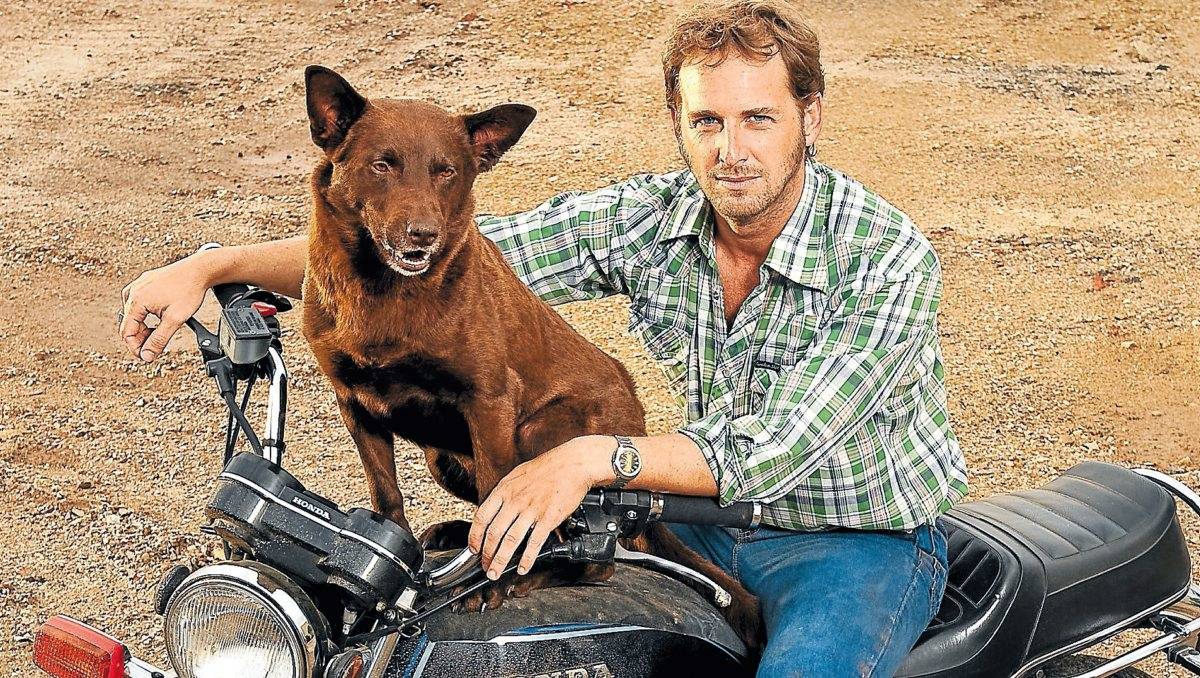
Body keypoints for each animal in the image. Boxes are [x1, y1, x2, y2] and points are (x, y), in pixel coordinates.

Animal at [298, 65, 762, 647]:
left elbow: (501, 504)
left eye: (447, 172)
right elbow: (387, 497)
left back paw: (528, 573)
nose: (422, 235)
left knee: (592, 556)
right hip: (442, 457)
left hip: (544, 433)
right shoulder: (355, 405)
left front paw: (491, 582)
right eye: (381, 165)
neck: (384, 294)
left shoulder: (491, 401)